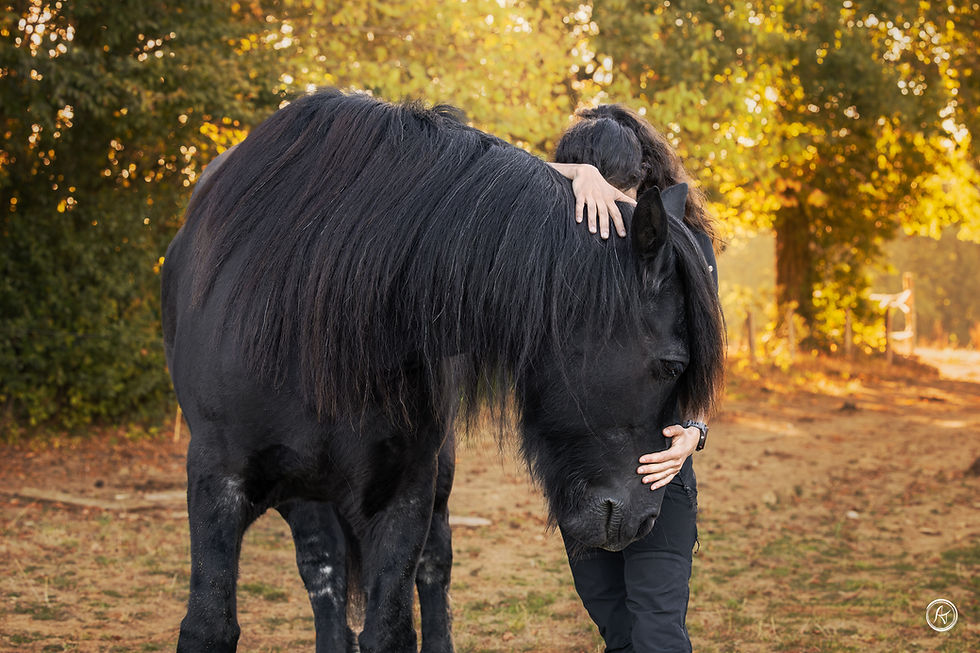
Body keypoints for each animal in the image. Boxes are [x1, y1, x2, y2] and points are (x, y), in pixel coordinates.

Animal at [161, 88, 724, 652]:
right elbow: (209, 625)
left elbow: (392, 626)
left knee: (430, 568)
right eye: (671, 364)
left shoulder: (405, 489)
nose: (646, 519)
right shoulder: (215, 480)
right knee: (324, 576)